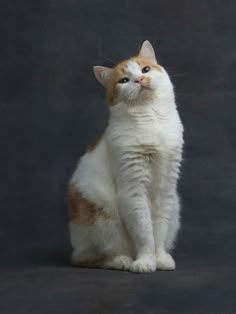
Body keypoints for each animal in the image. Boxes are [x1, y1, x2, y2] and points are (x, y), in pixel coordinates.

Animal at [67, 41, 183, 272]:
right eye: (123, 80)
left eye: (145, 70)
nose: (139, 80)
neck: (151, 118)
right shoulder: (133, 191)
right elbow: (145, 232)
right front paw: (146, 261)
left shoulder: (166, 190)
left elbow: (159, 230)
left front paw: (159, 259)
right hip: (103, 219)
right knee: (89, 258)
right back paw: (123, 260)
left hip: (175, 207)